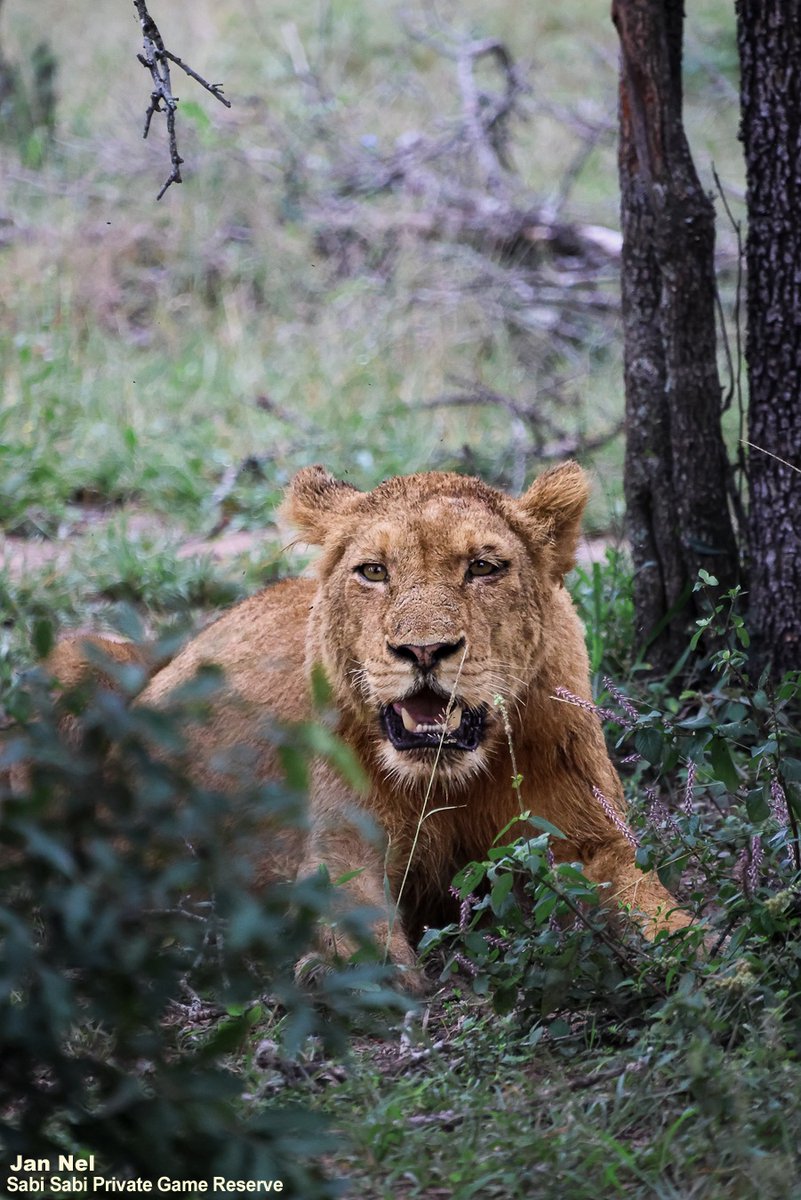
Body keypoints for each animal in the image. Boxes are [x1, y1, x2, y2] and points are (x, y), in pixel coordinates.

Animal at [45, 462, 688, 990]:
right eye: (374, 571)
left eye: (482, 567)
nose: (424, 650)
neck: (450, 782)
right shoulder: (341, 844)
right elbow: (350, 914)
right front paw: (360, 981)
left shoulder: (591, 836)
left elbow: (647, 898)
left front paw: (697, 961)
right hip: (78, 657)